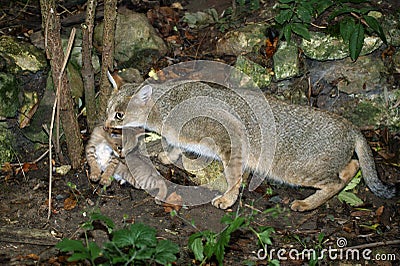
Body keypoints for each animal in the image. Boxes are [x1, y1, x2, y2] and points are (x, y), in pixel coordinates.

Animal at [104, 79, 396, 212]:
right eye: (107, 110)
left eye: (119, 114)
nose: (105, 125)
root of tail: (350, 126)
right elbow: (174, 147)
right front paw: (167, 155)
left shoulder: (228, 139)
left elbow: (233, 175)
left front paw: (228, 198)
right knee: (352, 166)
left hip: (296, 169)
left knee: (337, 181)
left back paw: (306, 204)